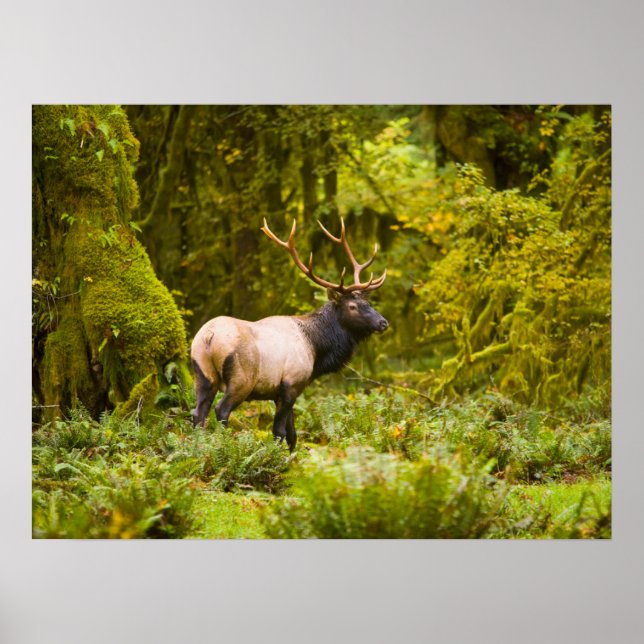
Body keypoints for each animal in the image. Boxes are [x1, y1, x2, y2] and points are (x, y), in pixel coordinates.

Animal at [190, 217, 388, 452]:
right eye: (353, 306)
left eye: (368, 302)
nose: (383, 322)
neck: (316, 349)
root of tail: (208, 336)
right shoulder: (291, 384)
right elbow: (280, 432)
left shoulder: (282, 392)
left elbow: (293, 434)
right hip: (241, 377)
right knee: (221, 410)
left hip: (202, 372)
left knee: (197, 413)